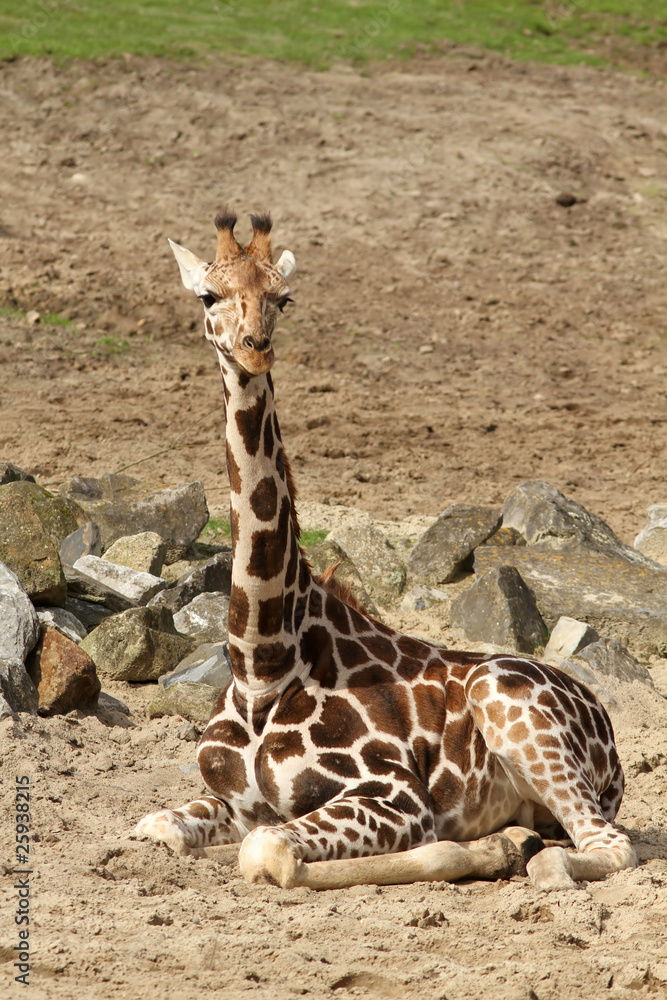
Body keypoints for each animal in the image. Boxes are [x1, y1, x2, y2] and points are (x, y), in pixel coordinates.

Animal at [135, 210, 636, 891]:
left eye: (284, 298)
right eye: (207, 296)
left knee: (604, 847)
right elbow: (157, 828)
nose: (254, 346)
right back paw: (509, 843)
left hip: (509, 707)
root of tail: (605, 722)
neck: (263, 662)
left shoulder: (395, 793)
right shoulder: (232, 800)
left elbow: (268, 852)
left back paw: (523, 856)